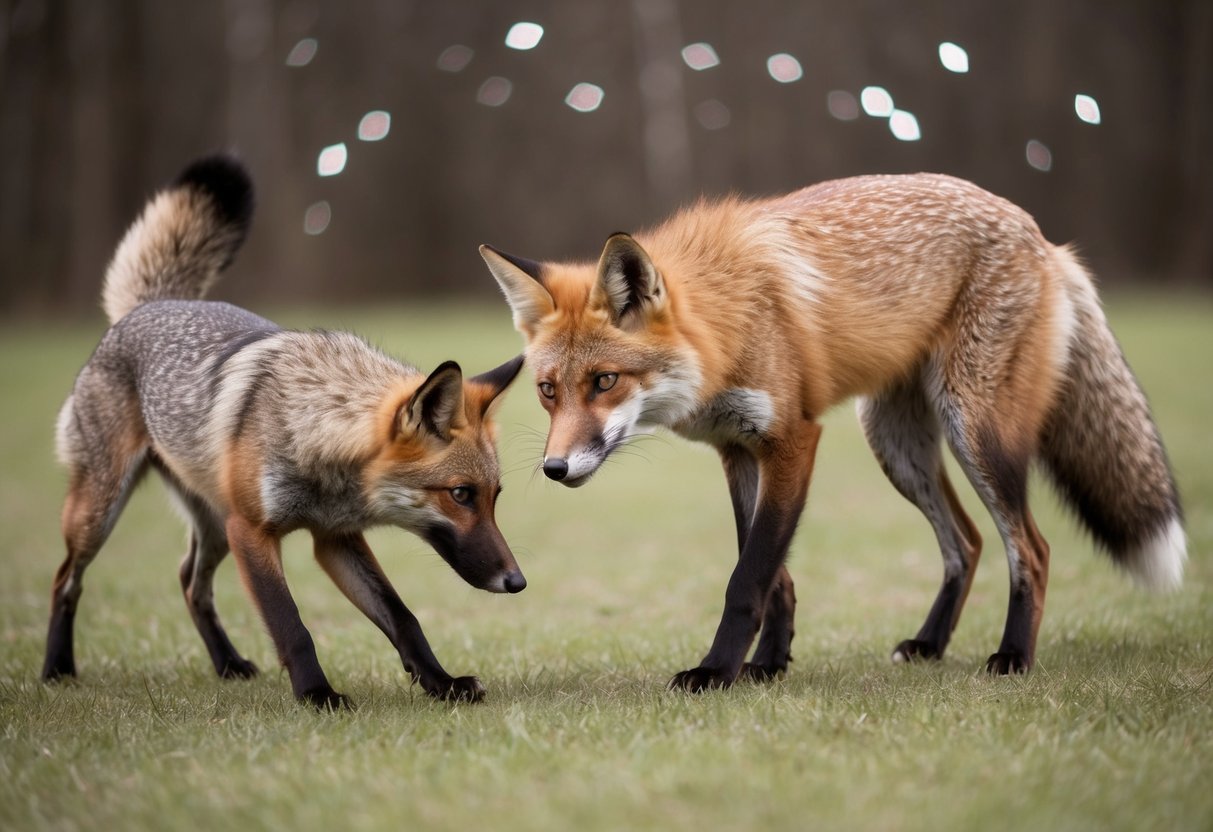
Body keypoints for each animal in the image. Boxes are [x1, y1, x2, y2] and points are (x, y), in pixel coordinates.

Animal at [43, 154, 527, 709]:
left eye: (495, 497)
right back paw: (56, 668)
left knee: (190, 582)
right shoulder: (252, 530)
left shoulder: (335, 538)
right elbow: (292, 626)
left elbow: (403, 618)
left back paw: (227, 664)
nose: (517, 581)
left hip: (212, 521)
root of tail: (148, 306)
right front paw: (318, 695)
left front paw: (441, 683)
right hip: (103, 513)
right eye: (461, 494)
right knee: (65, 580)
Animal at [480, 172, 1186, 691]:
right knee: (967, 541)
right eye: (548, 391)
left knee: (1030, 550)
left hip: (977, 430)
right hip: (896, 446)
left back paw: (1013, 657)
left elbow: (748, 579)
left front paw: (716, 672)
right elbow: (772, 576)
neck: (728, 322)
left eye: (605, 382)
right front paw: (767, 666)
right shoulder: (738, 448)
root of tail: (1041, 236)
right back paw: (930, 644)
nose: (554, 468)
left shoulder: (793, 440)